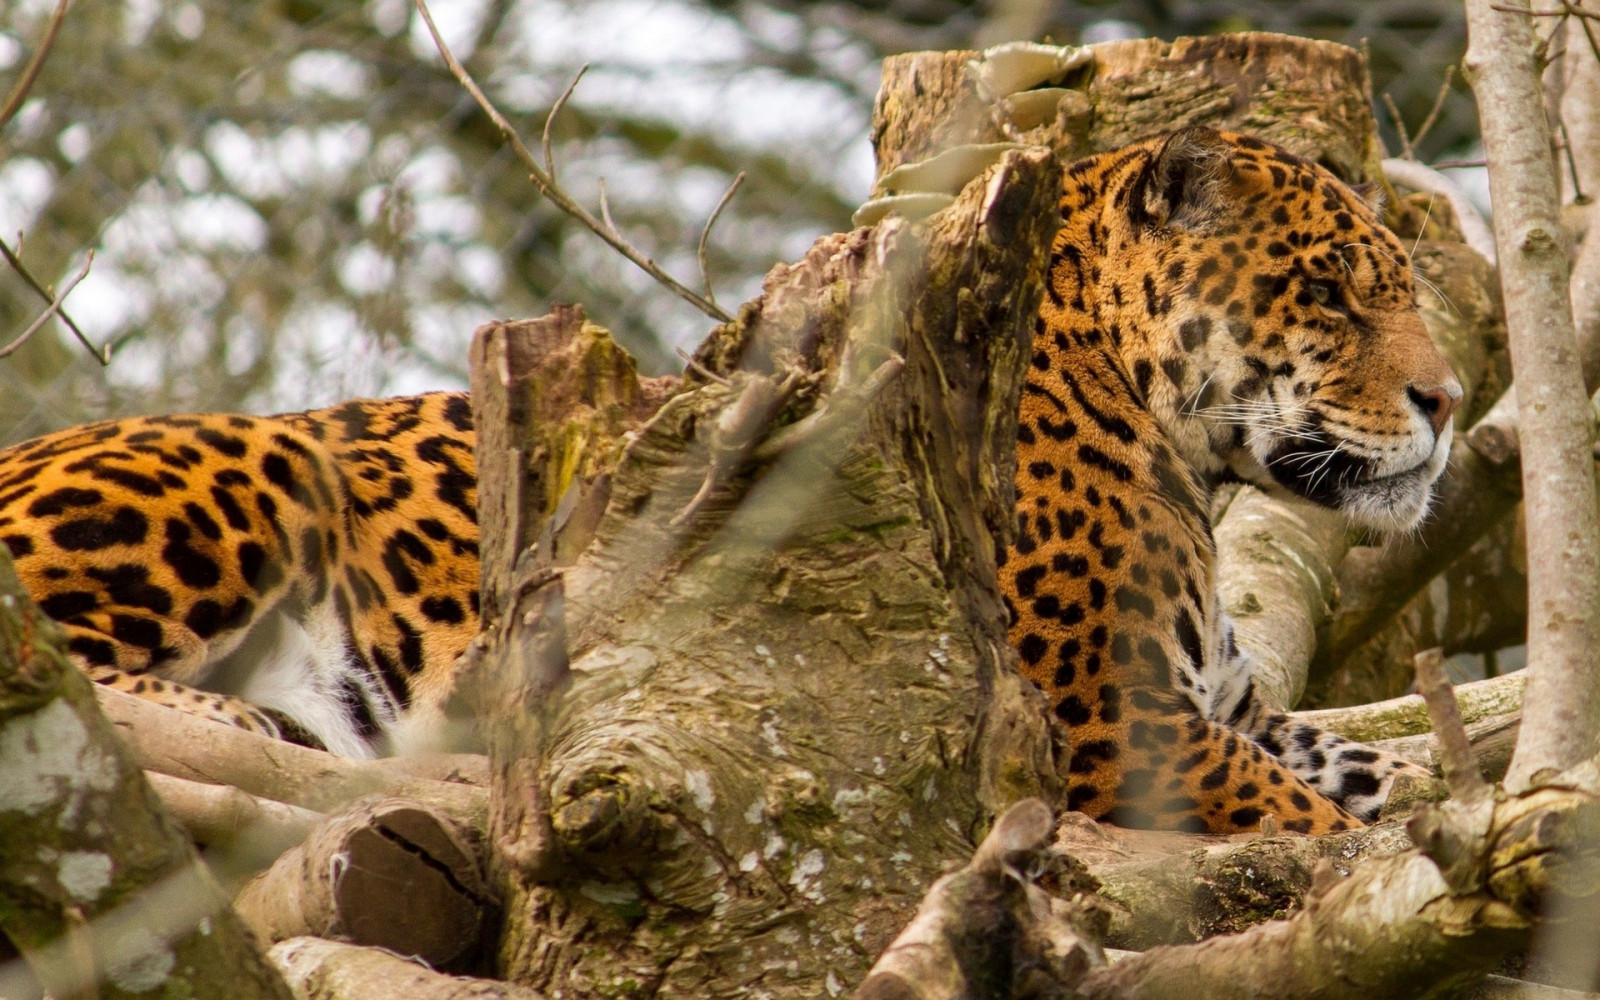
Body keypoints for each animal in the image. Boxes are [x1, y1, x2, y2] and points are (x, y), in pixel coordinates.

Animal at [0, 128, 1447, 836]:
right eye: (1327, 293)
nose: (1443, 400)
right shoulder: (1104, 717)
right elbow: (1315, 824)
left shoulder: (1227, 706)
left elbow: (1383, 771)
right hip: (252, 473)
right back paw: (249, 721)